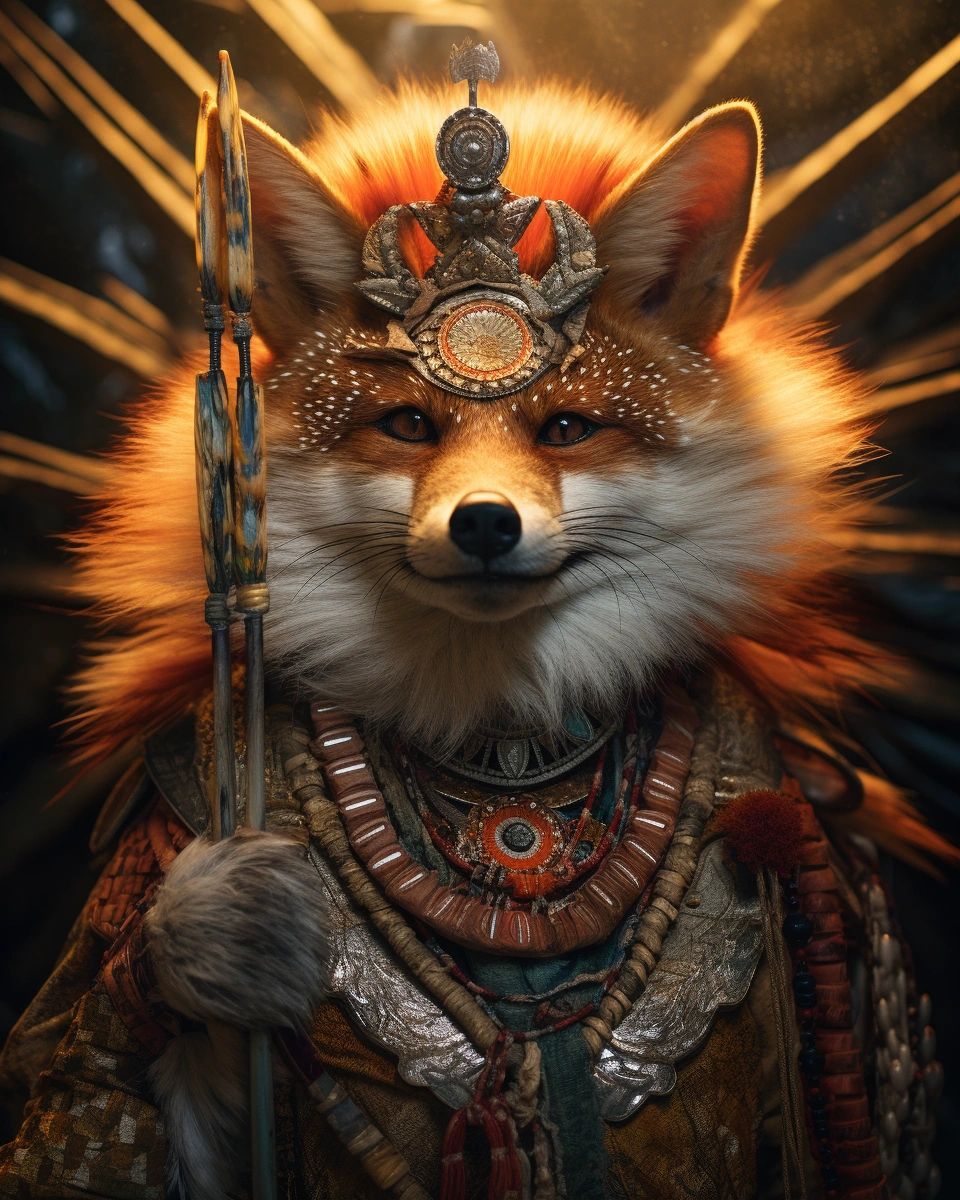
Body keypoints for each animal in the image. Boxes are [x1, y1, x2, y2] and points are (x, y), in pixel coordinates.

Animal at [0, 74, 952, 1200]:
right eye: (409, 426)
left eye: (568, 429)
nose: (486, 525)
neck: (506, 742)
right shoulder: (106, 1032)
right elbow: (96, 1099)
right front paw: (228, 928)